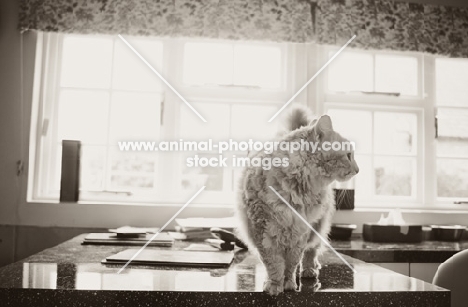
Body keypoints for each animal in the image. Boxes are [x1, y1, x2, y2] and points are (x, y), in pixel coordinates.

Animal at [236, 104, 360, 298]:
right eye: (348, 155)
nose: (358, 169)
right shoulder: (263, 229)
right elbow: (274, 263)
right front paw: (274, 285)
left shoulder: (300, 232)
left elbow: (292, 262)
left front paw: (289, 284)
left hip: (317, 228)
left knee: (311, 253)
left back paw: (310, 270)